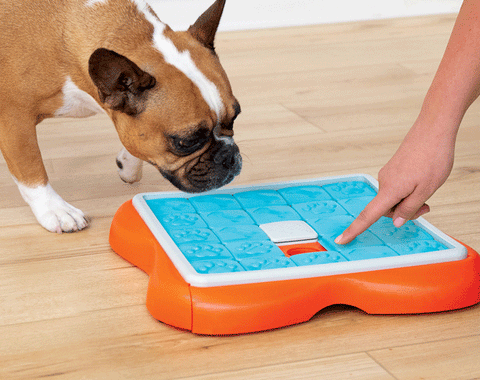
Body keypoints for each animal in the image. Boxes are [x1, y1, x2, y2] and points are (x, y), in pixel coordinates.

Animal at [0, 0, 240, 233]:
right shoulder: (14, 119)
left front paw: (128, 164)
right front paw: (55, 210)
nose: (228, 156)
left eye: (235, 117)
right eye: (187, 141)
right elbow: (31, 170)